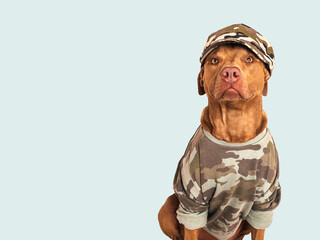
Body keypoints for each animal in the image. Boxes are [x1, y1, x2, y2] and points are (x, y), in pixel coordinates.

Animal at [158, 43, 278, 240]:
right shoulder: (192, 202)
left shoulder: (264, 202)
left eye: (249, 59)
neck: (234, 127)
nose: (229, 72)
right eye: (214, 60)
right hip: (168, 206)